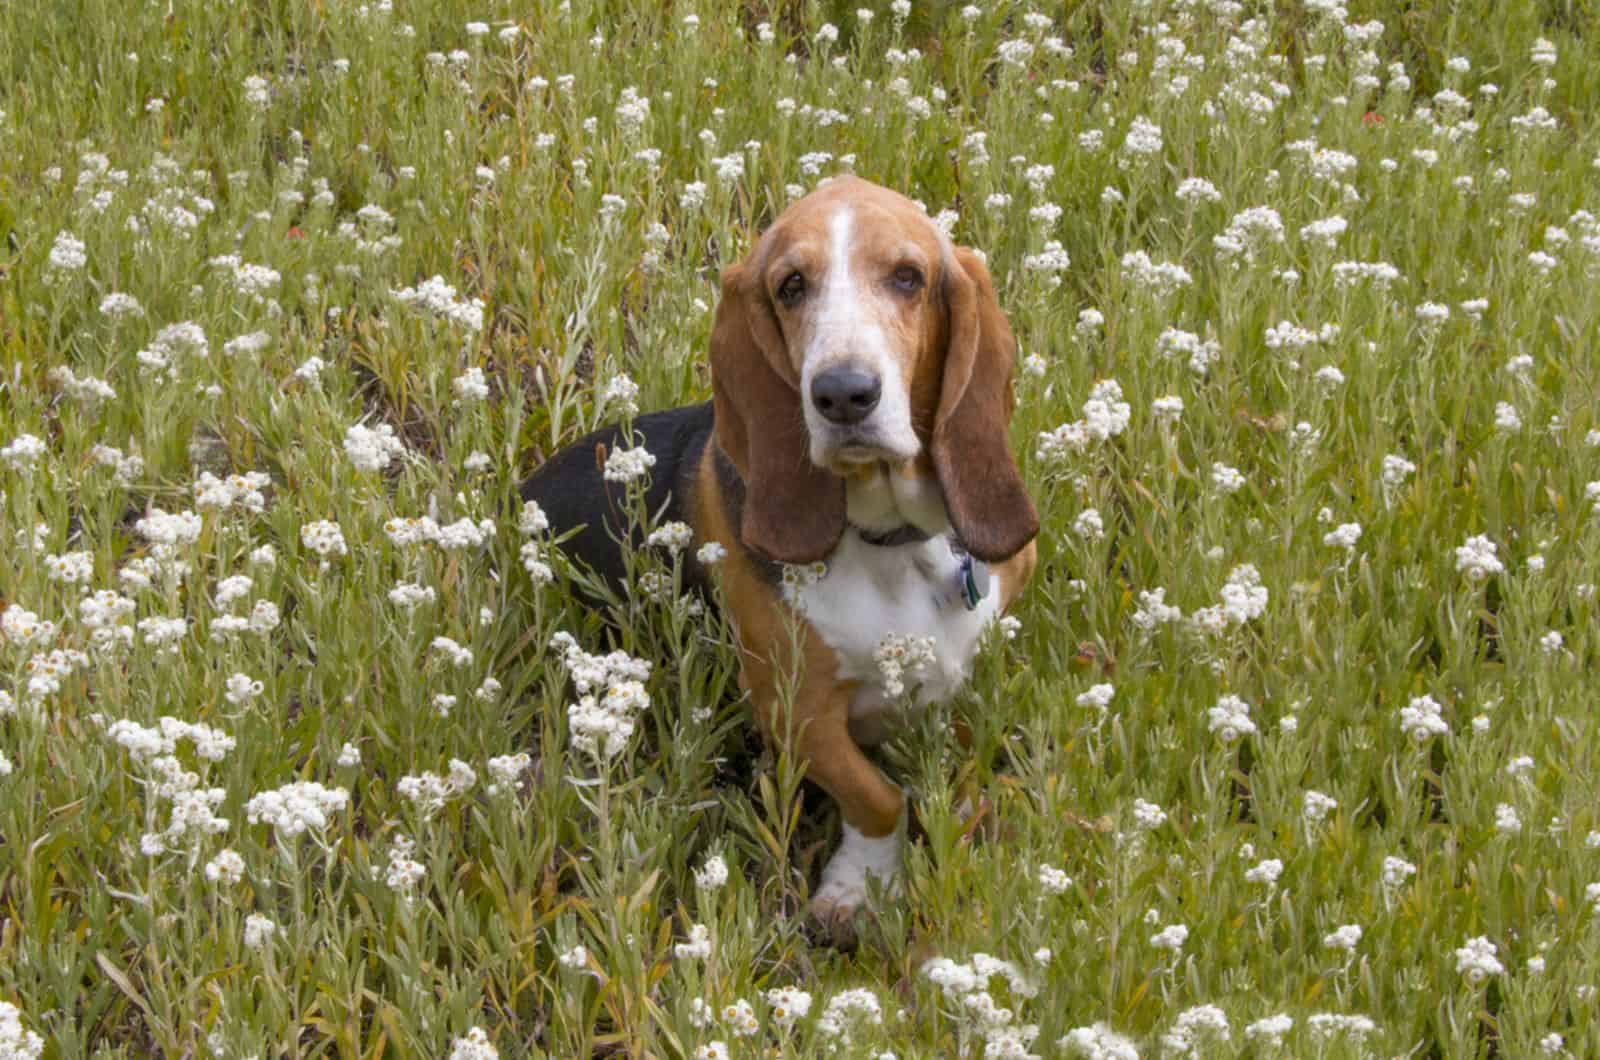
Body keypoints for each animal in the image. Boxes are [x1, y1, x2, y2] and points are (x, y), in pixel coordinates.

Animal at [524, 176, 1036, 941]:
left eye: (908, 276)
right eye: (791, 286)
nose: (843, 393)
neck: (892, 547)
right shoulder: (794, 709)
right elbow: (878, 796)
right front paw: (858, 888)